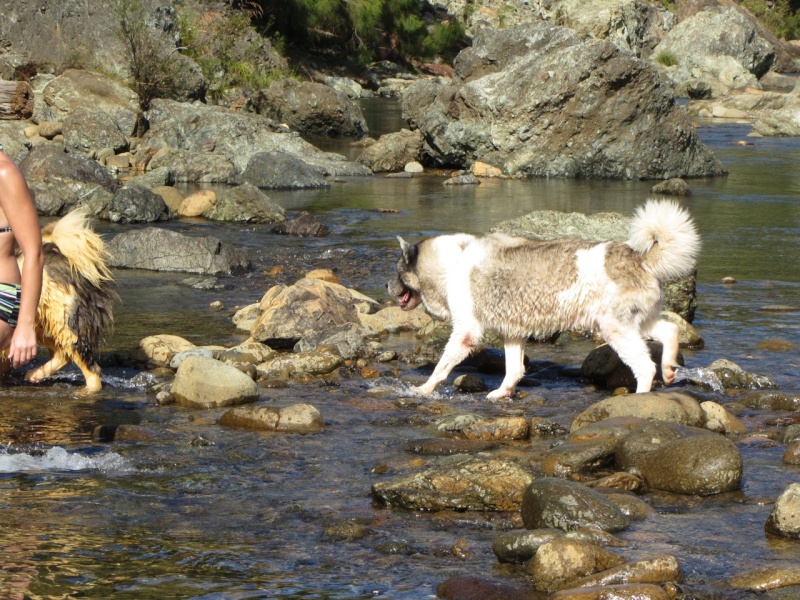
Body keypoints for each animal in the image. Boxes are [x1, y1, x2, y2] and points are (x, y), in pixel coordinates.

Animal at [388, 199, 700, 400]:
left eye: (398, 271)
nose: (387, 285)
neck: (450, 263)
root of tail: (639, 258)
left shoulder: (466, 332)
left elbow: (441, 367)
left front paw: (424, 389)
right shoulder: (514, 333)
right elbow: (514, 369)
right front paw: (502, 392)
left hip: (616, 328)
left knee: (645, 367)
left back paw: (640, 398)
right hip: (639, 322)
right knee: (671, 330)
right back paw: (669, 370)